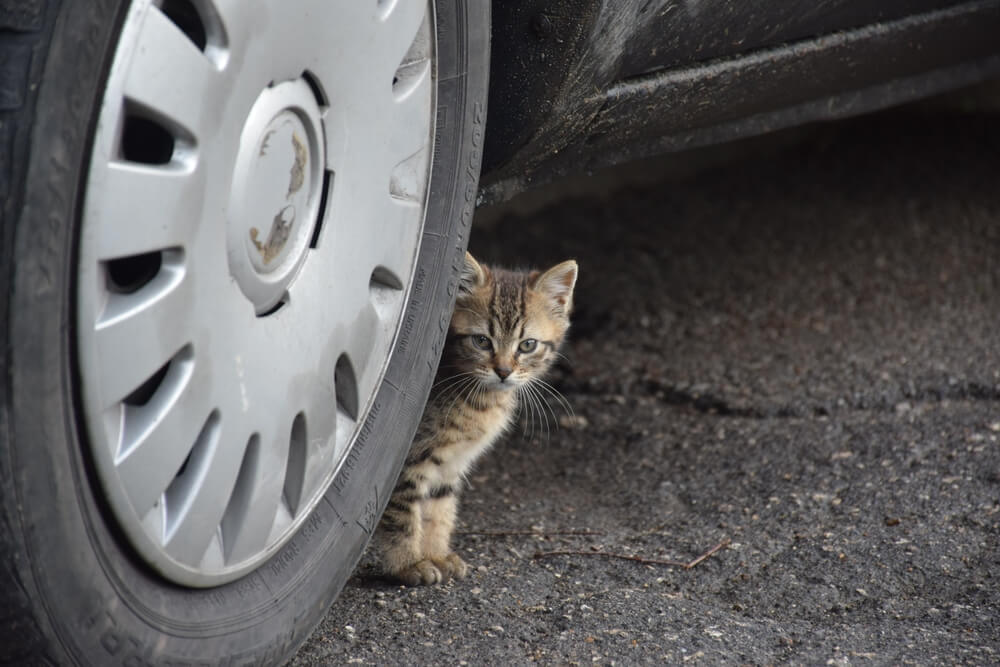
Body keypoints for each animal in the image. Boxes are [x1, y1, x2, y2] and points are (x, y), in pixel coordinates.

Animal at [374, 253, 580, 588]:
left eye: (527, 345)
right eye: (482, 341)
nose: (504, 371)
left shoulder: (450, 464)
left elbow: (439, 511)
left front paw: (436, 554)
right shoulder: (408, 460)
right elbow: (403, 512)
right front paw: (407, 564)